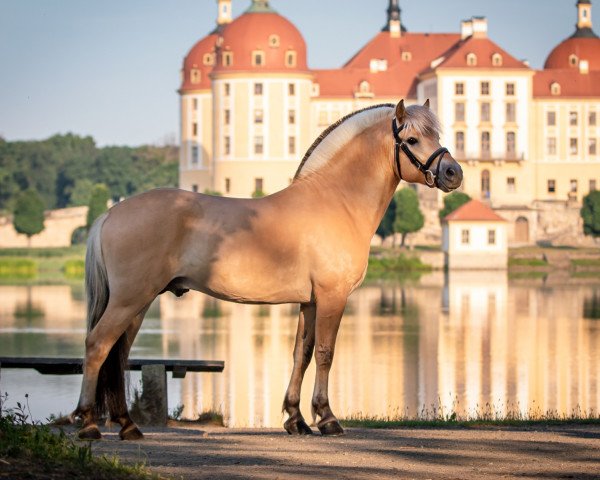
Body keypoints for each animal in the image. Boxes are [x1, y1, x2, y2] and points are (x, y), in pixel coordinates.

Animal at [70, 99, 464, 440]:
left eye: (437, 135)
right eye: (412, 139)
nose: (453, 172)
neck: (336, 201)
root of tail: (111, 212)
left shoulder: (309, 302)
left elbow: (301, 354)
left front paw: (296, 419)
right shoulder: (332, 297)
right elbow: (326, 353)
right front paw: (327, 418)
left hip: (137, 304)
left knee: (118, 355)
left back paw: (127, 426)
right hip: (130, 300)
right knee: (98, 345)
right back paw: (88, 424)